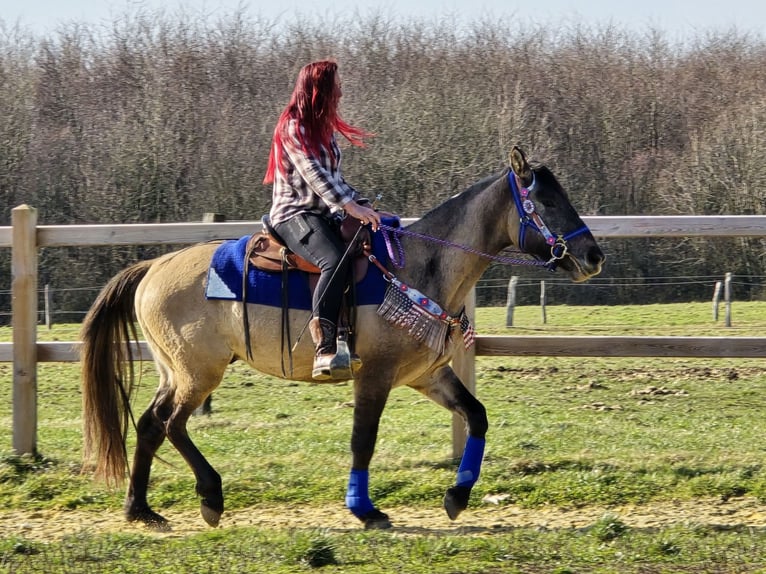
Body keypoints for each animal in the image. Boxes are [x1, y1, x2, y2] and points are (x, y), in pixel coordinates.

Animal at [80, 146, 605, 530]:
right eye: (548, 202)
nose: (593, 256)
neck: (418, 267)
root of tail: (153, 267)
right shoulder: (374, 377)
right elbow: (362, 441)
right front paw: (365, 510)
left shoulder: (428, 376)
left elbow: (476, 417)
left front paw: (456, 497)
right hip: (197, 372)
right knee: (171, 424)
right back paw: (210, 496)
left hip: (176, 370)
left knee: (150, 423)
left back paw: (141, 510)